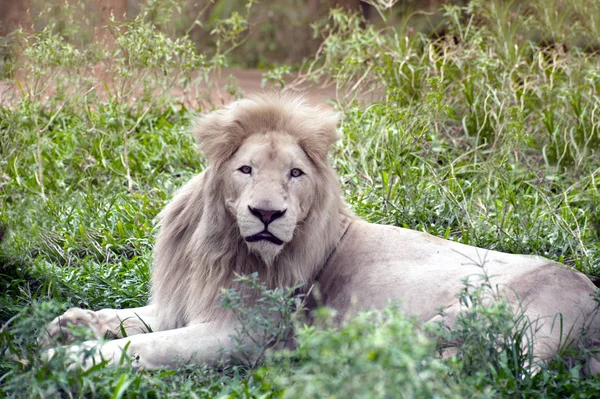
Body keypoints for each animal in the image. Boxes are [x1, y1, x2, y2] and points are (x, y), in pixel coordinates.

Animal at [44, 92, 600, 374]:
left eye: (295, 174)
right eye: (245, 170)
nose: (267, 214)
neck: (223, 248)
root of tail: (591, 301)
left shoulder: (241, 334)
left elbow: (149, 346)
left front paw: (65, 357)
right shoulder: (183, 303)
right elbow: (130, 319)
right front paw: (70, 324)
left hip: (474, 315)